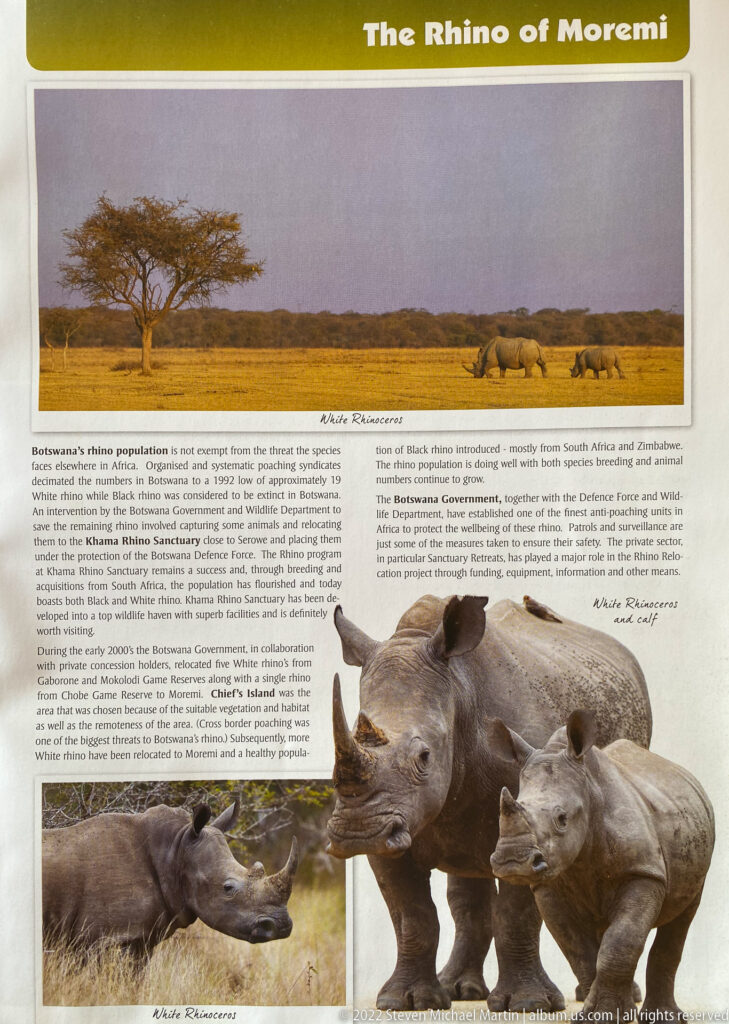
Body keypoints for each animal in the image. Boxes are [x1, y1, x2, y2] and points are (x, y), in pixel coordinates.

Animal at [326, 594, 651, 1012]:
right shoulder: (391, 825)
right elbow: (412, 914)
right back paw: (459, 990)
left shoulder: (528, 822)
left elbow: (516, 911)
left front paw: (528, 1004)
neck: (458, 694)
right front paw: (405, 1001)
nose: (357, 832)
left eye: (425, 757)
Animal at [490, 711, 714, 1022]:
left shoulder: (643, 873)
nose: (512, 861)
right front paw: (599, 1014)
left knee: (683, 914)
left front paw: (609, 1014)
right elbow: (577, 950)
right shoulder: (547, 885)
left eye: (562, 819)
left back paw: (663, 1015)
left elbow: (621, 941)